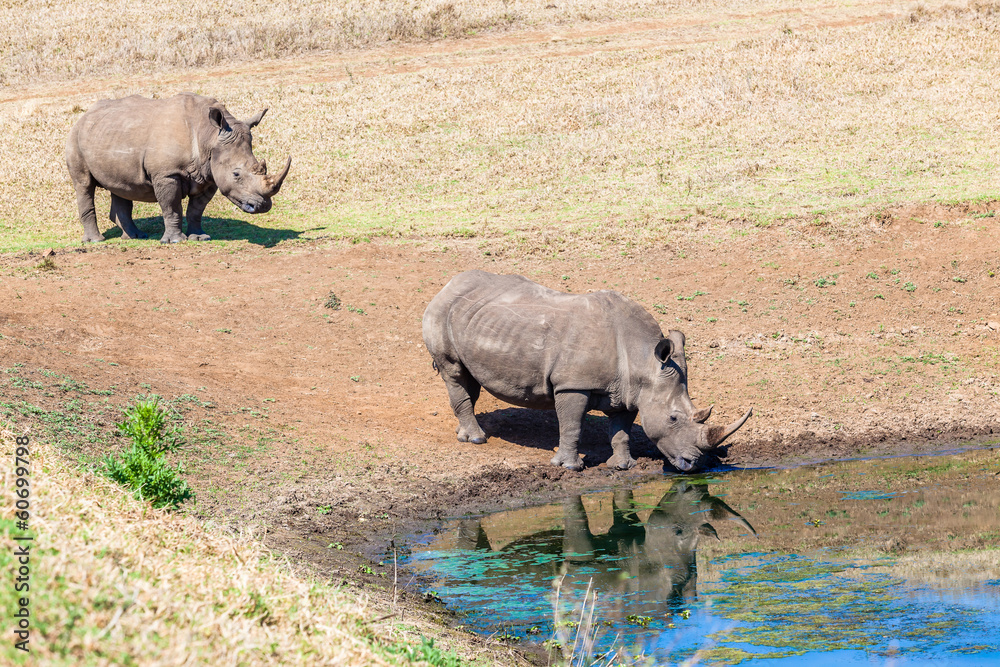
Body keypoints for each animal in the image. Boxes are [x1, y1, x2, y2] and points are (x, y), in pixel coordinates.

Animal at [65, 92, 291, 244]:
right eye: (236, 174)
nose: (262, 206)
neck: (208, 135)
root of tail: (84, 116)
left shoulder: (208, 175)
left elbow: (196, 210)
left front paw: (199, 237)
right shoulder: (167, 174)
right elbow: (171, 206)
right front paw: (176, 240)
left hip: (110, 134)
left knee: (121, 187)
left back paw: (135, 237)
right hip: (75, 138)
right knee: (84, 185)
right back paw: (96, 241)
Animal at [422, 270, 752, 471]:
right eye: (673, 418)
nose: (695, 464)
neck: (643, 359)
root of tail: (447, 285)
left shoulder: (629, 391)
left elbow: (621, 431)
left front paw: (623, 466)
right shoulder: (572, 383)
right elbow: (572, 425)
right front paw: (569, 467)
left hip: (475, 317)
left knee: (470, 379)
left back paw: (464, 432)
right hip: (440, 313)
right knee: (454, 373)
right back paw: (476, 440)